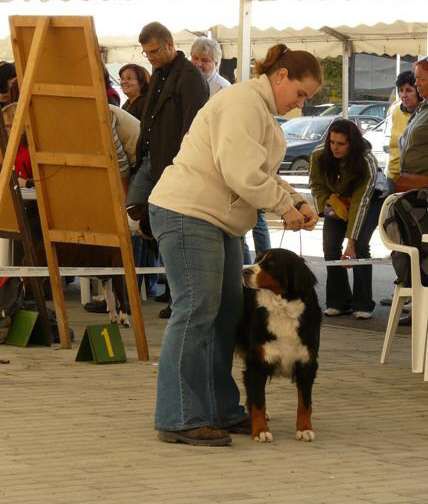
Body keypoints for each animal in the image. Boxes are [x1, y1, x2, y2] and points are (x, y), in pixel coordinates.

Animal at [237, 248, 320, 440]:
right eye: (257, 259)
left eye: (272, 264)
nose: (244, 271)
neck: (283, 310)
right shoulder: (258, 361)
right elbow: (258, 402)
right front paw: (261, 431)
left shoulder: (306, 362)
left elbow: (305, 403)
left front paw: (305, 429)